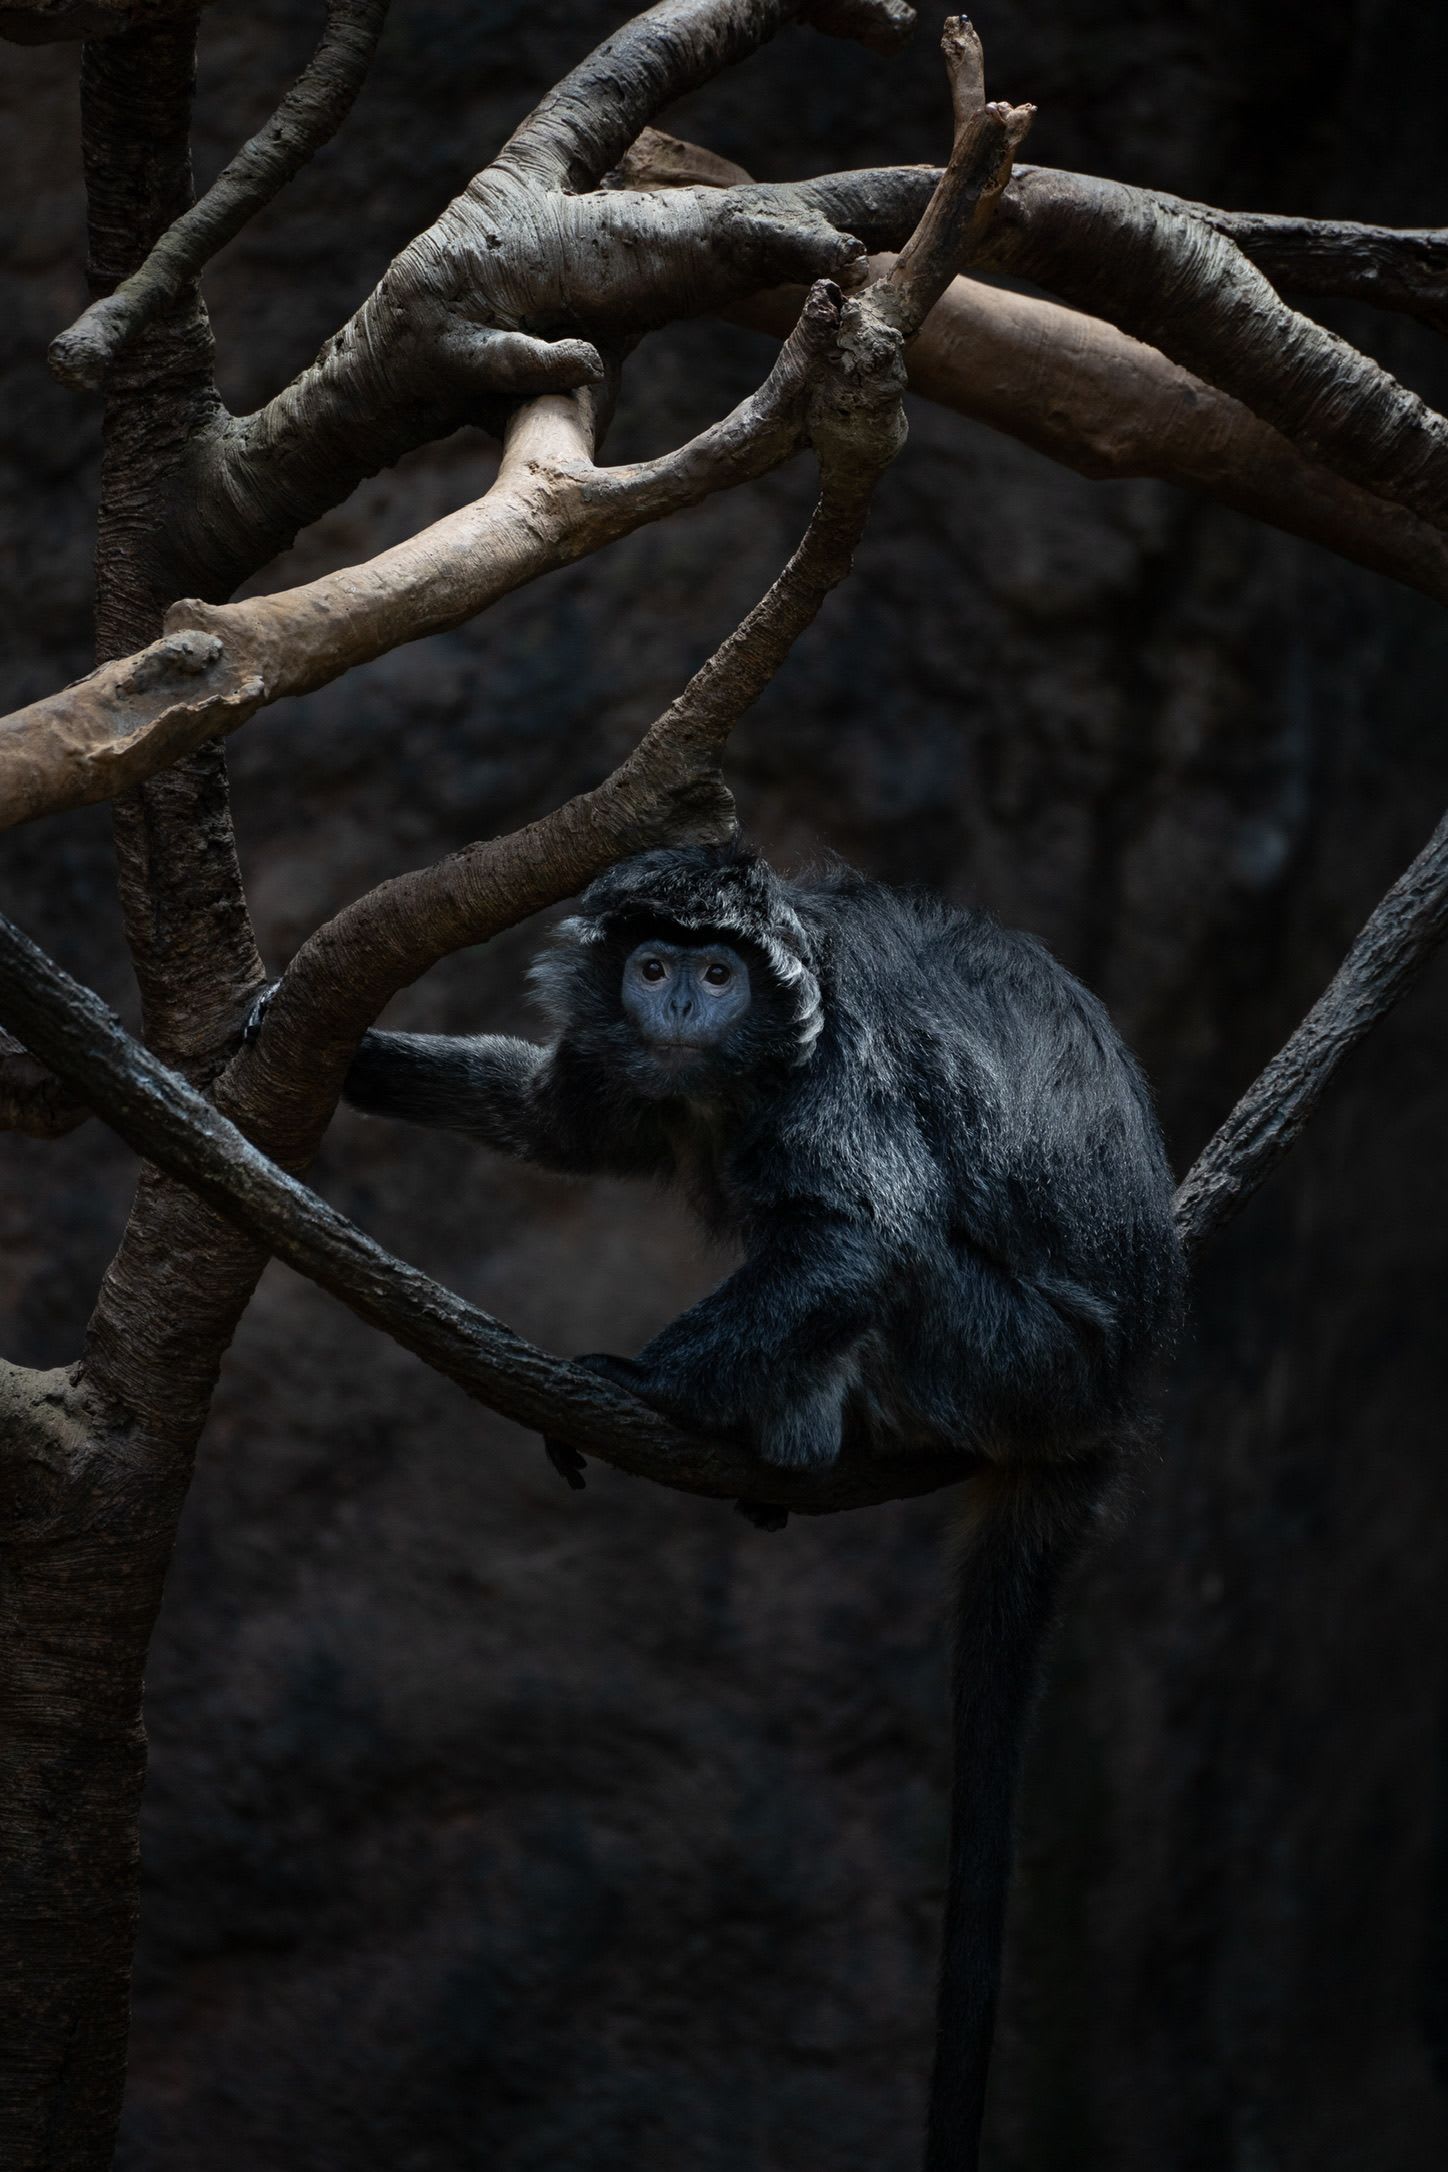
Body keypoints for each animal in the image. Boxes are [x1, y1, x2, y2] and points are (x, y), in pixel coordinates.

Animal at [337, 842, 1182, 2172]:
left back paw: (775, 1433)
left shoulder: (839, 1065)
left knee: (883, 1255)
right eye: (653, 966)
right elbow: (554, 1121)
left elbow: (857, 1237)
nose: (682, 1003)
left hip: (1012, 1357)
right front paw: (332, 1048)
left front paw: (626, 1386)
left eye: (718, 972)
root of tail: (1110, 1399)